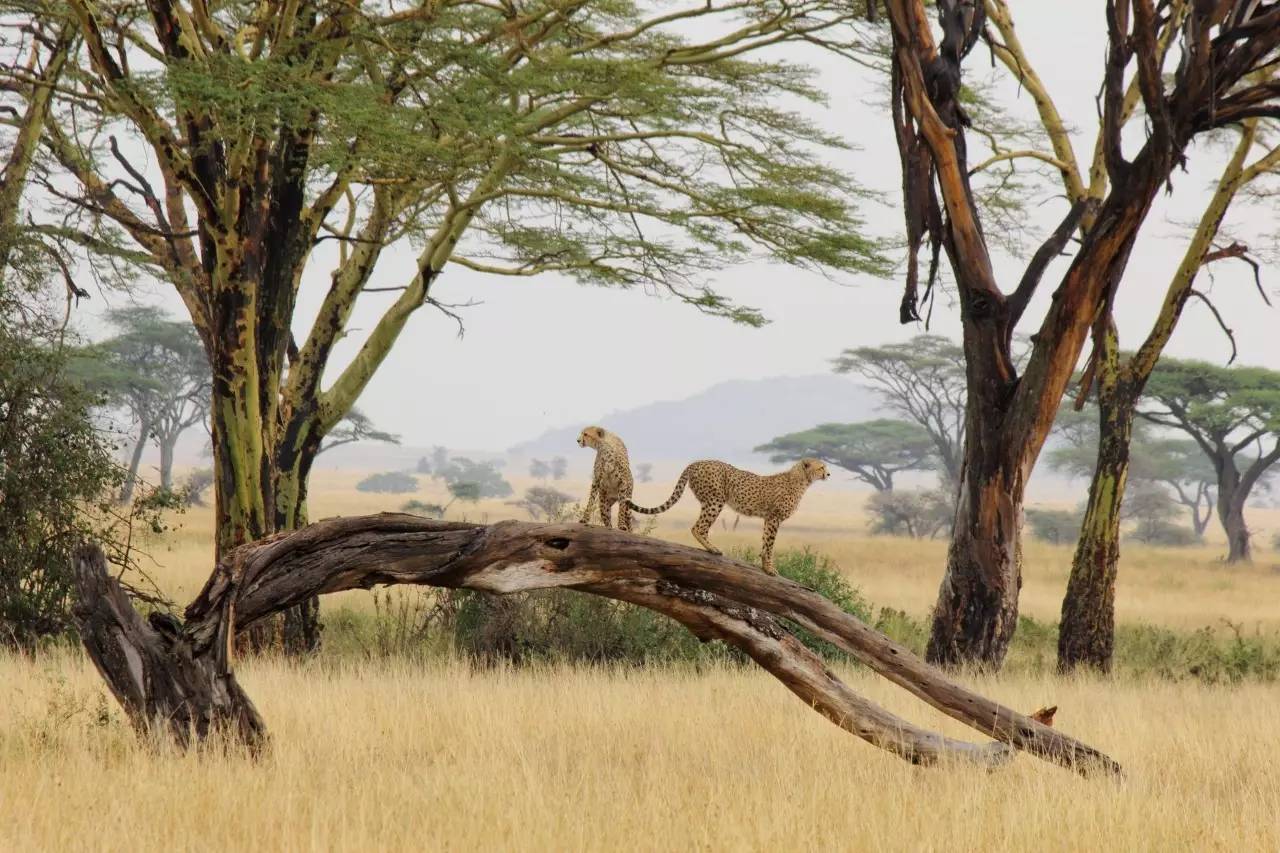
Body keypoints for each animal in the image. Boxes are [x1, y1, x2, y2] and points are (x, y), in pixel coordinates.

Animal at [627, 458, 829, 571]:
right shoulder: (774, 518)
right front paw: (770, 568)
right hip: (715, 501)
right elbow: (770, 545)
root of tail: (696, 462)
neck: (802, 479)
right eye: (821, 467)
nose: (828, 474)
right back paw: (712, 549)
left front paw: (765, 566)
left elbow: (765, 543)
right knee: (698, 527)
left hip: (709, 501)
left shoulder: (769, 519)